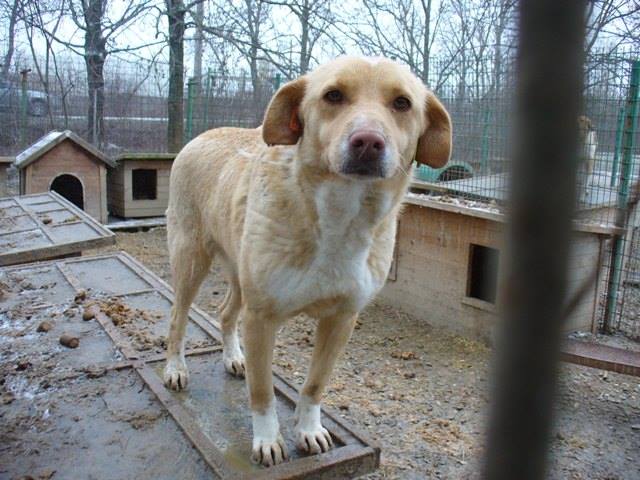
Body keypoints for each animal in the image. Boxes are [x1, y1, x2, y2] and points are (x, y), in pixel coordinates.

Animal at [162, 55, 452, 464]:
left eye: (402, 103)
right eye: (333, 95)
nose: (368, 142)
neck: (338, 218)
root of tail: (202, 134)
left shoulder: (342, 319)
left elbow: (315, 384)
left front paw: (309, 429)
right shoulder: (261, 318)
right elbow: (263, 392)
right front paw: (268, 440)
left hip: (239, 273)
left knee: (224, 312)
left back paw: (233, 356)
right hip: (190, 261)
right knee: (177, 317)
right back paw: (175, 368)